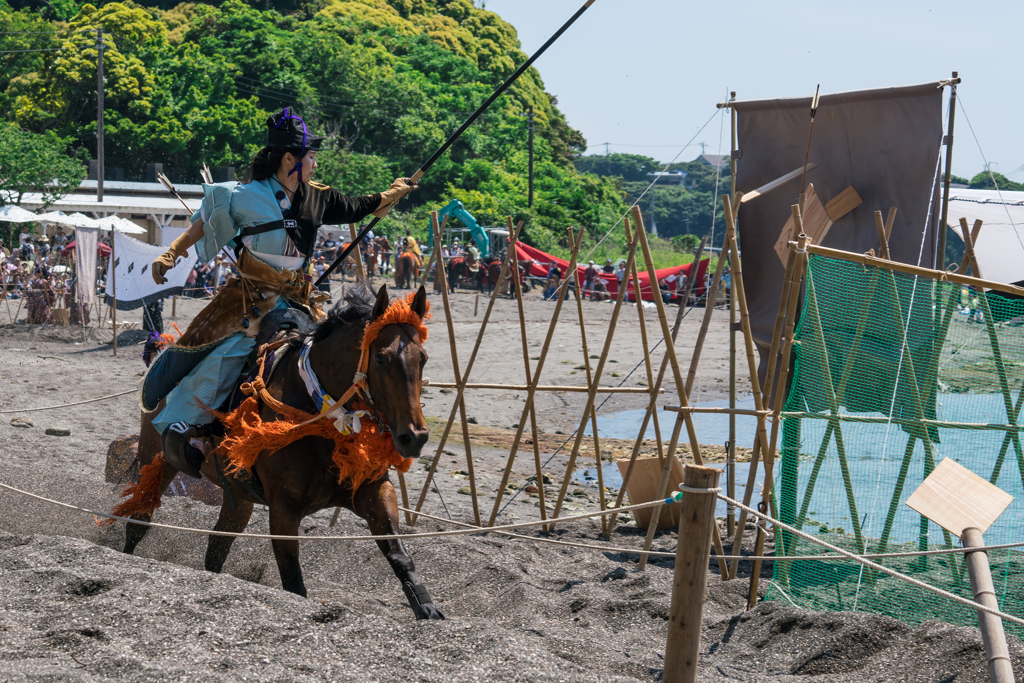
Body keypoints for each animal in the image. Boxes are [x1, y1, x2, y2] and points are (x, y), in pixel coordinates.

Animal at [118, 282, 440, 618]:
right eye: (380, 358)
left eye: (423, 358)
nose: (414, 437)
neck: (318, 412)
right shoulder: (284, 510)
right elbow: (293, 581)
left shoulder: (372, 489)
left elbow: (399, 555)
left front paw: (427, 609)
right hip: (157, 460)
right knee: (139, 521)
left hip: (238, 495)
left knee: (217, 546)